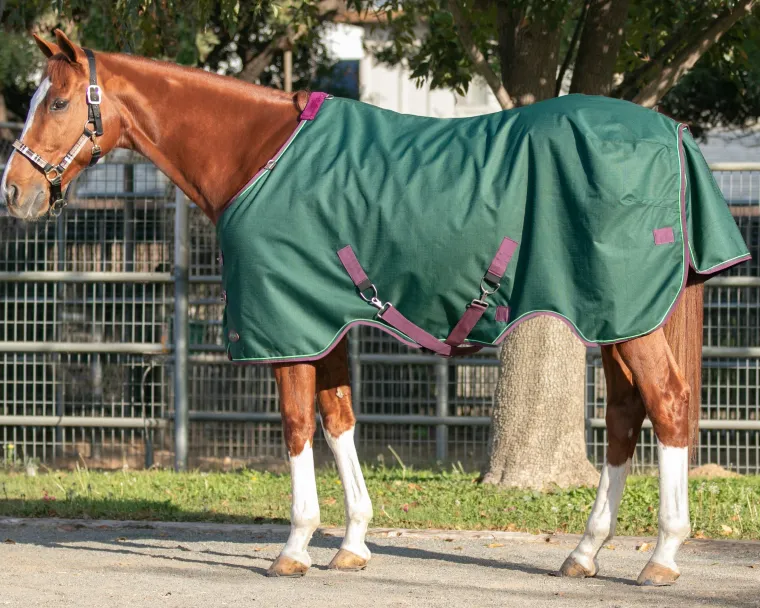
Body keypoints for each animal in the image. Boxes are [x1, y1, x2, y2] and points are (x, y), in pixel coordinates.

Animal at [1, 30, 750, 585]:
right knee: (627, 417)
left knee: (668, 406)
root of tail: (673, 133)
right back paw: (585, 554)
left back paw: (661, 557)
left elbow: (296, 427)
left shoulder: (289, 327)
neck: (257, 155)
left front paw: (295, 548)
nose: (13, 193)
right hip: (623, 320)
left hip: (631, 322)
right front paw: (353, 543)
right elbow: (339, 422)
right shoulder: (322, 322)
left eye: (58, 103)